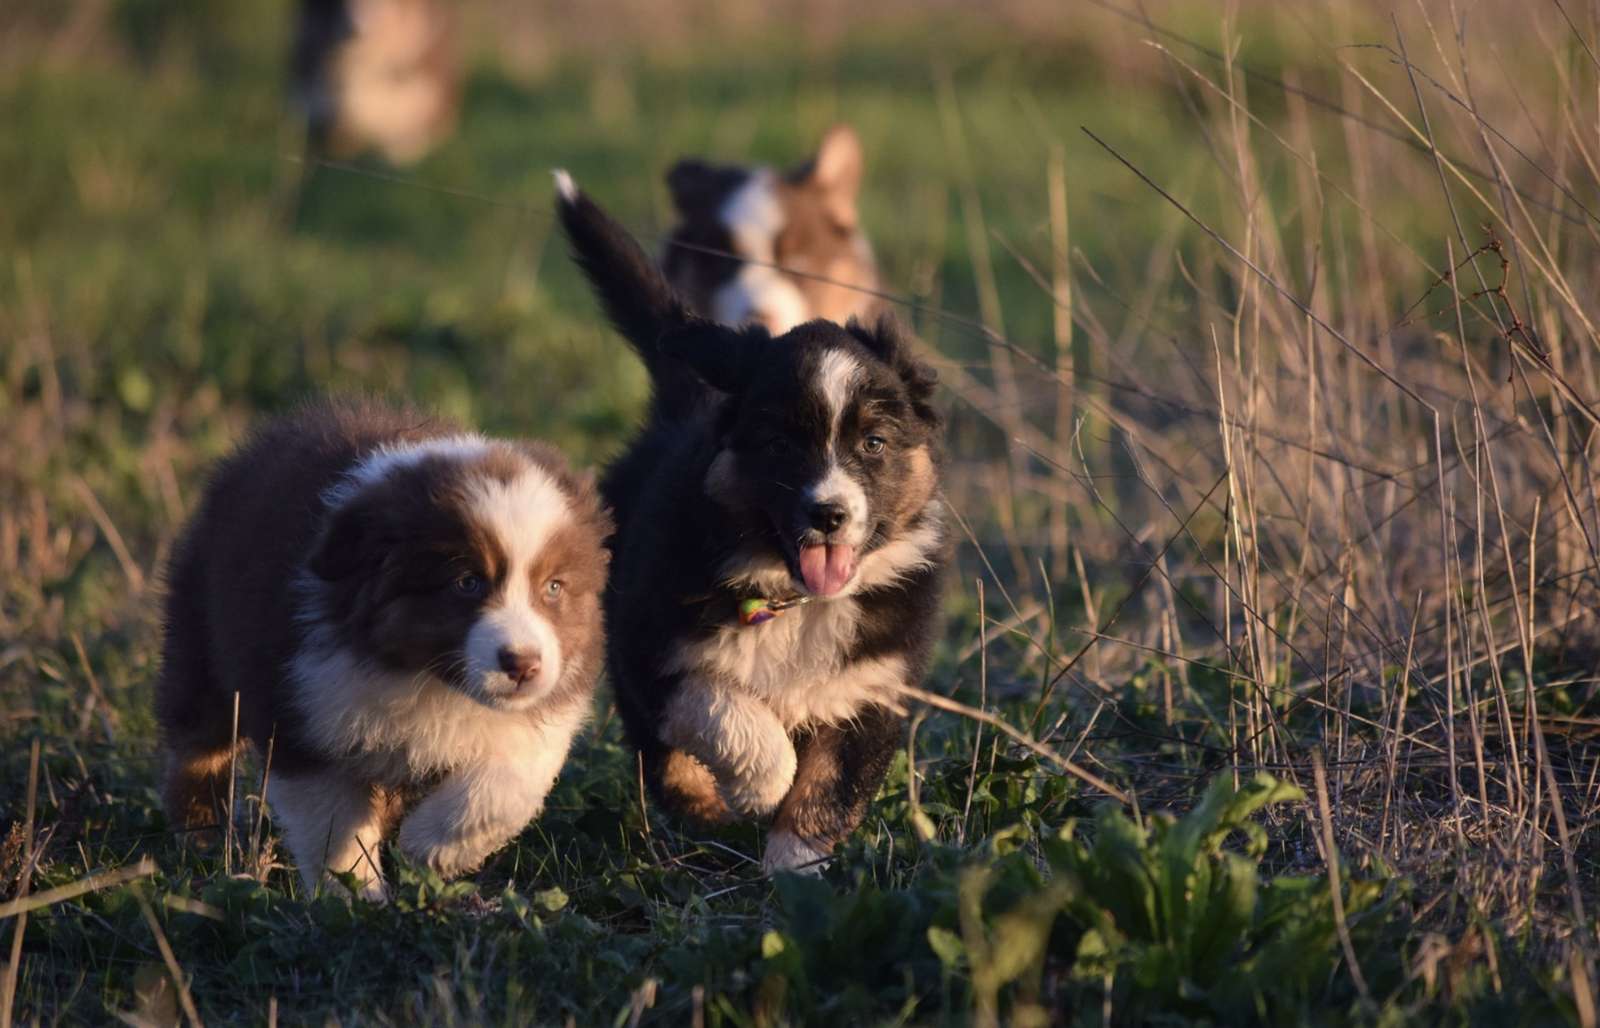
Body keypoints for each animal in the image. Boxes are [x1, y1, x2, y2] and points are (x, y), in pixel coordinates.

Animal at [156, 400, 608, 896]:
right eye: (467, 582)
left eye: (553, 587)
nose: (523, 665)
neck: (426, 679)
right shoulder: (303, 709)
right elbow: (333, 822)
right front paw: (354, 895)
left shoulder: (539, 715)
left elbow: (503, 786)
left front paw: (428, 847)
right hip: (200, 636)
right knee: (197, 744)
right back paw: (201, 834)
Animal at [556, 172, 940, 871]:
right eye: (780, 444)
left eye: (874, 443)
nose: (829, 512)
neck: (792, 600)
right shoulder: (652, 641)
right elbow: (719, 705)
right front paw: (761, 784)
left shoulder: (871, 685)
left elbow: (826, 792)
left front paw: (794, 872)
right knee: (665, 761)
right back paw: (708, 806)